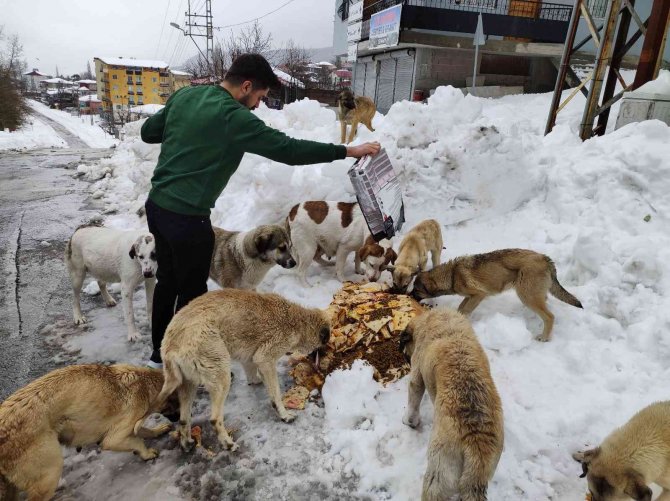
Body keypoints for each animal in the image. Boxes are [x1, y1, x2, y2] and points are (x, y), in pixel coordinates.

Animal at [0, 364, 176, 500]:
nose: (177, 421)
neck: (145, 383)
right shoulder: (115, 437)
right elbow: (137, 441)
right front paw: (147, 454)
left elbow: (144, 432)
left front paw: (158, 430)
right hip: (50, 472)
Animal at [151, 288, 332, 452]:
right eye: (326, 343)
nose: (325, 359)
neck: (298, 321)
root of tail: (170, 346)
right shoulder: (265, 358)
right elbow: (276, 393)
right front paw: (284, 414)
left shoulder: (250, 359)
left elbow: (254, 377)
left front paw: (258, 383)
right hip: (221, 377)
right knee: (214, 418)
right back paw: (228, 444)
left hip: (188, 384)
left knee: (183, 419)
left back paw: (186, 443)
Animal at [410, 248, 584, 342]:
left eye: (416, 290)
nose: (408, 296)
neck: (452, 274)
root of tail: (545, 259)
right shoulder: (469, 296)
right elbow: (461, 307)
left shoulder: (479, 295)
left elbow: (465, 310)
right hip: (530, 294)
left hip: (526, 294)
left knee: (549, 316)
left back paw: (544, 337)